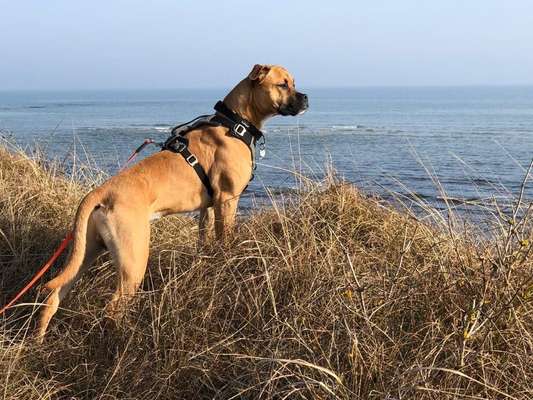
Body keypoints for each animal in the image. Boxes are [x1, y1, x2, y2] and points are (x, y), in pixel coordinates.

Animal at [36, 65, 308, 338]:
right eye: (283, 84)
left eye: (293, 82)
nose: (306, 98)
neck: (234, 123)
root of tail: (101, 192)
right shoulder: (227, 200)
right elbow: (226, 239)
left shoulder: (207, 209)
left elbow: (204, 240)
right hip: (133, 260)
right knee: (112, 308)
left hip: (86, 252)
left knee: (54, 296)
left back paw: (39, 338)